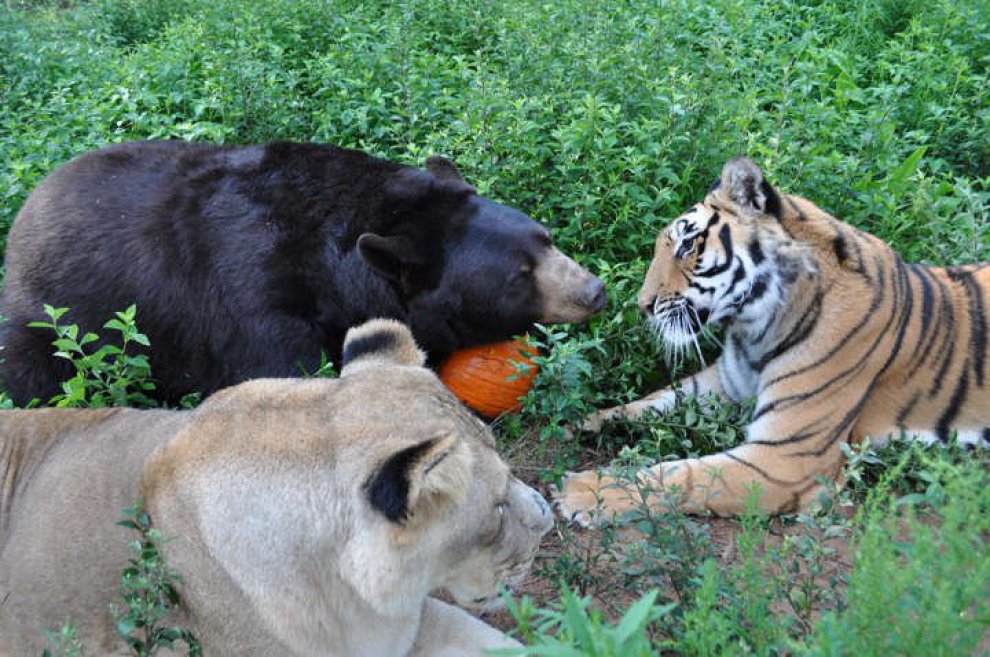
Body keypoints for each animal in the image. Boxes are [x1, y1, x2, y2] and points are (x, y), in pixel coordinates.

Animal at [0, 140, 606, 405]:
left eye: (546, 237)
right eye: (519, 274)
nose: (594, 291)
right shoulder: (252, 299)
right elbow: (284, 374)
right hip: (49, 324)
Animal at [556, 157, 989, 524]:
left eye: (688, 245)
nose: (642, 305)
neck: (755, 328)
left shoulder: (786, 458)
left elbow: (685, 476)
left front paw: (585, 492)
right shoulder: (724, 383)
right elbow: (648, 402)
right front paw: (575, 421)